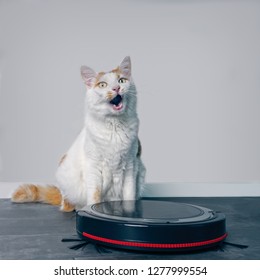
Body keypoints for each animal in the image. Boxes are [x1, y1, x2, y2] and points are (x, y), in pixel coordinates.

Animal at [11, 55, 146, 211]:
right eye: (102, 85)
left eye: (121, 81)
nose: (116, 88)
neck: (114, 126)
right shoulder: (94, 168)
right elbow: (94, 197)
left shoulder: (130, 165)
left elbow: (129, 196)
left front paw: (130, 212)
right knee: (68, 204)